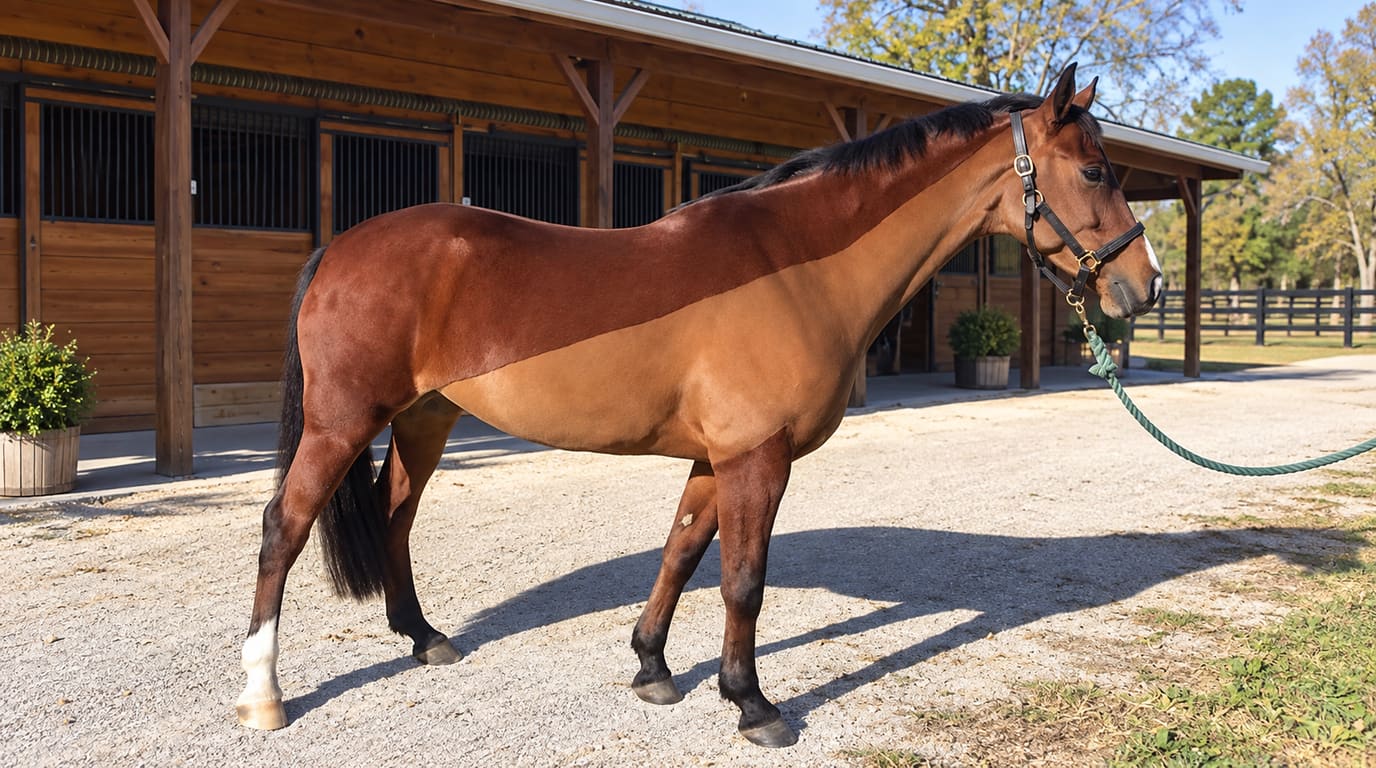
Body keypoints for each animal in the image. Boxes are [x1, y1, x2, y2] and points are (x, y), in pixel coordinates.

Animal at [234, 63, 1161, 747]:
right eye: (1093, 171)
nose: (1144, 285)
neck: (796, 267)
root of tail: (341, 248)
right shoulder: (758, 456)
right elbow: (743, 582)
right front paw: (753, 705)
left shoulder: (717, 457)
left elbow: (680, 555)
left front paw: (653, 669)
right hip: (343, 422)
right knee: (284, 526)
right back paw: (264, 696)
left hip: (424, 418)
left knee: (395, 517)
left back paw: (424, 637)